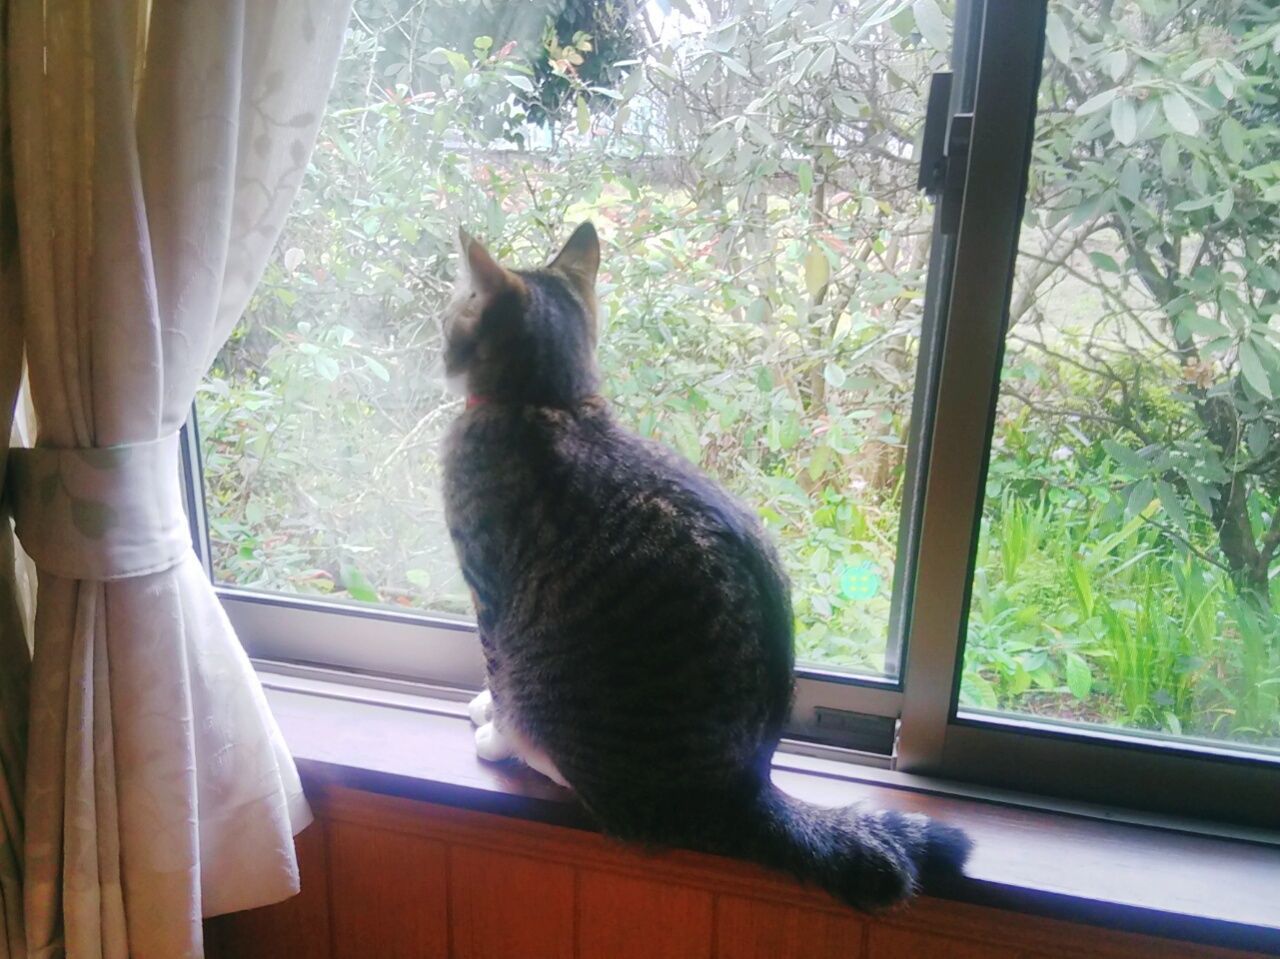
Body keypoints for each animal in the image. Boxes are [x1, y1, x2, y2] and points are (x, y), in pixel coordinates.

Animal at [440, 220, 967, 911]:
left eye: (454, 311)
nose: (437, 337)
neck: (553, 400)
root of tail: (745, 791)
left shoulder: (489, 593)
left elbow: (498, 677)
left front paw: (496, 735)